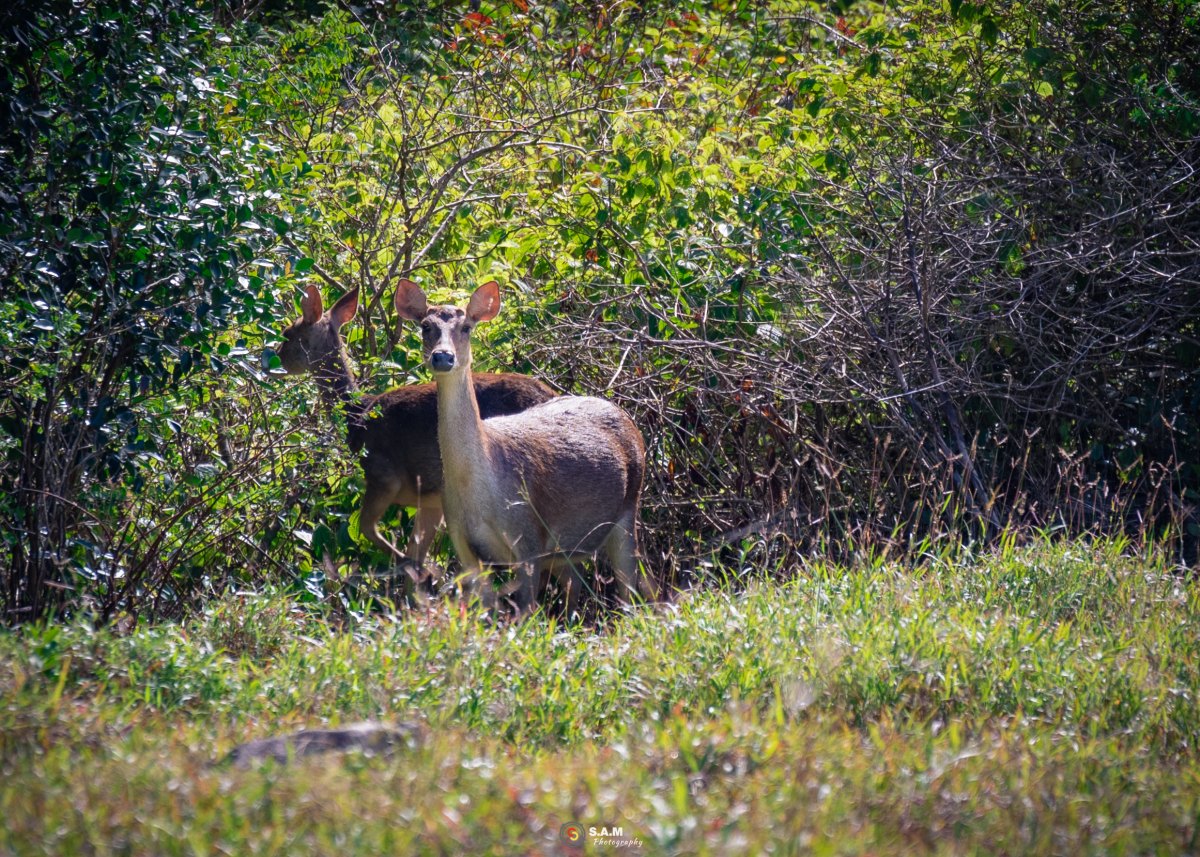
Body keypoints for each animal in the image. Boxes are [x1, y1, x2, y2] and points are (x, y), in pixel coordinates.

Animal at [274, 283, 554, 590]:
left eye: (288, 334)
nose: (273, 359)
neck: (357, 415)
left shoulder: (383, 474)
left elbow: (368, 529)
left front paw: (424, 572)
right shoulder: (431, 499)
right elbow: (412, 552)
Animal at [396, 277, 657, 619]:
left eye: (466, 327)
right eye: (426, 326)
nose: (443, 357)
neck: (480, 491)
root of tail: (627, 418)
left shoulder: (529, 536)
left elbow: (525, 612)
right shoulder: (462, 542)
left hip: (629, 506)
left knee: (629, 586)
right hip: (567, 547)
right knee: (577, 580)